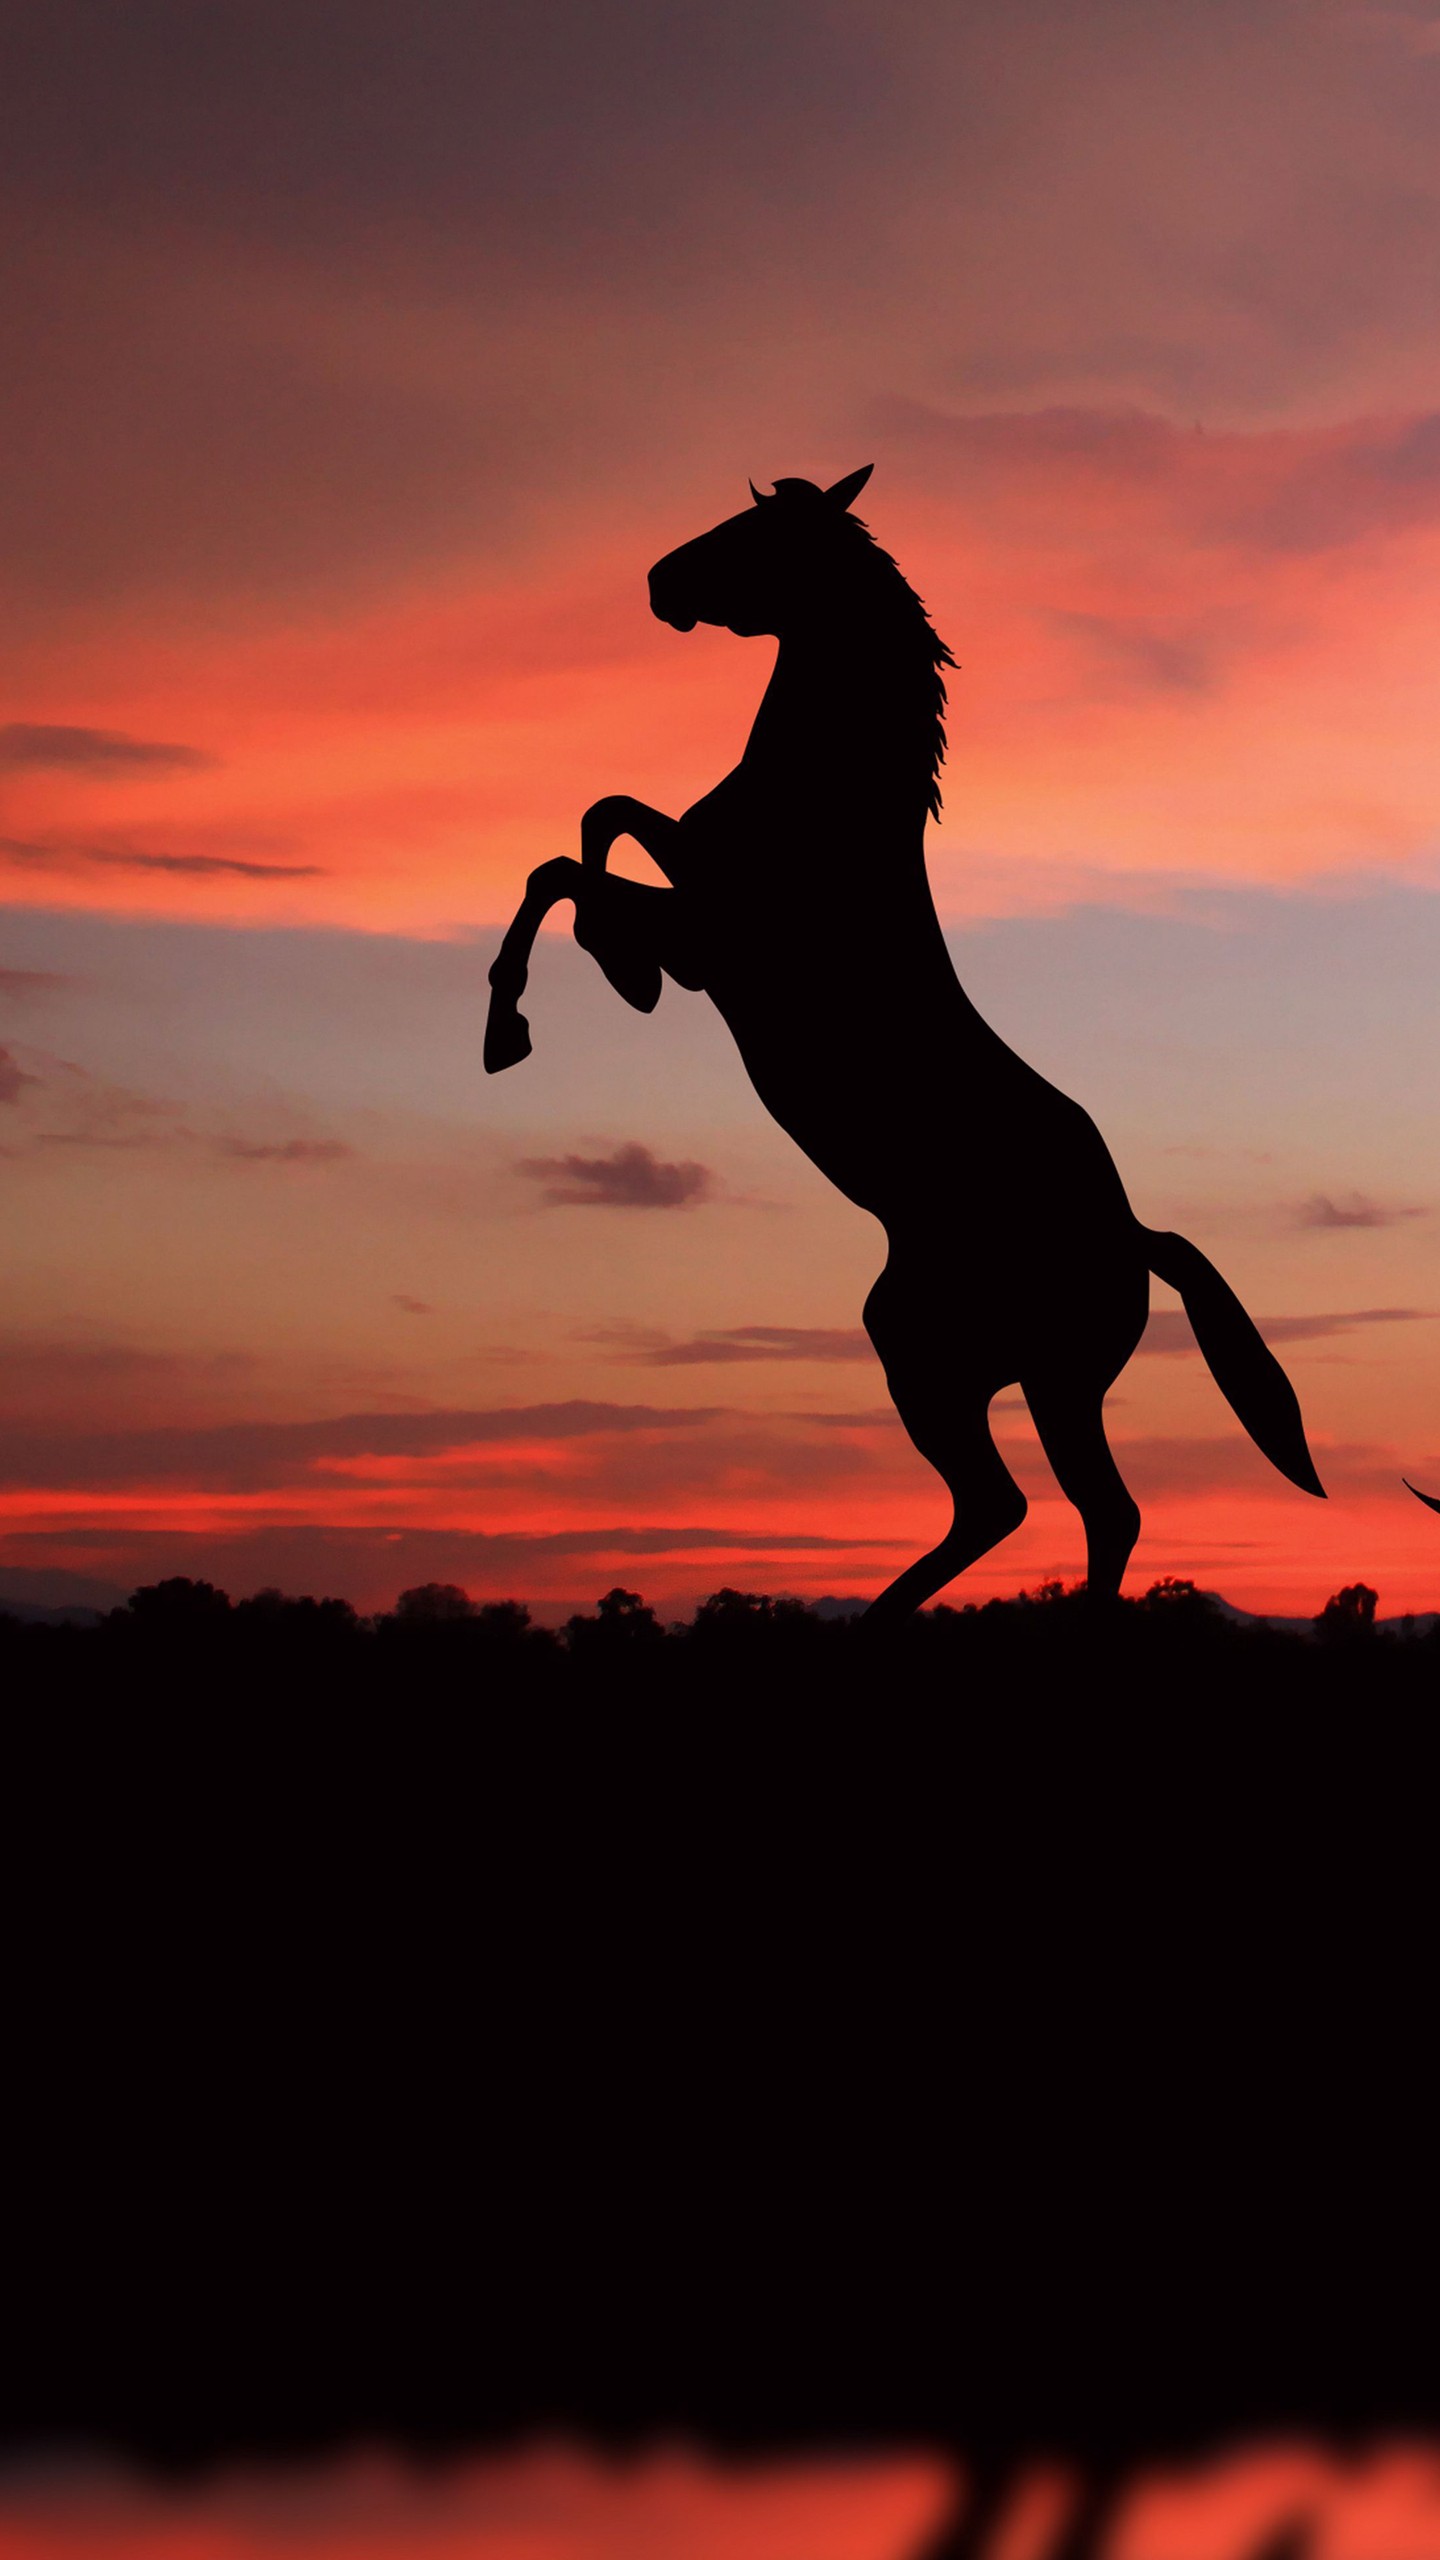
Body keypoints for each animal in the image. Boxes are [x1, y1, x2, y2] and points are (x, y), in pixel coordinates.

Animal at [485, 465, 1324, 1612]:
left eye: (758, 531)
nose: (660, 583)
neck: (826, 802)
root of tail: (1133, 1235)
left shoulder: (713, 933)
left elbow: (574, 863)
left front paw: (533, 1014)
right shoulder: (697, 887)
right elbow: (598, 824)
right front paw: (605, 978)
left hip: (986, 1367)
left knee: (1053, 1506)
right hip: (975, 1361)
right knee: (1044, 1508)